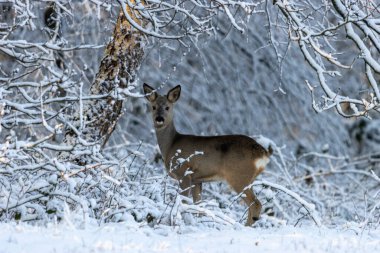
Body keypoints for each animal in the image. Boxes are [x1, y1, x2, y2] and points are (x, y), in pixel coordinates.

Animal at [144, 84, 272, 226]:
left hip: (239, 176)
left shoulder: (184, 173)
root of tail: (263, 153)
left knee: (256, 204)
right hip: (249, 179)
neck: (171, 144)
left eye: (167, 107)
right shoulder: (197, 180)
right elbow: (198, 204)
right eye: (153, 107)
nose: (159, 119)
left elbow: (183, 201)